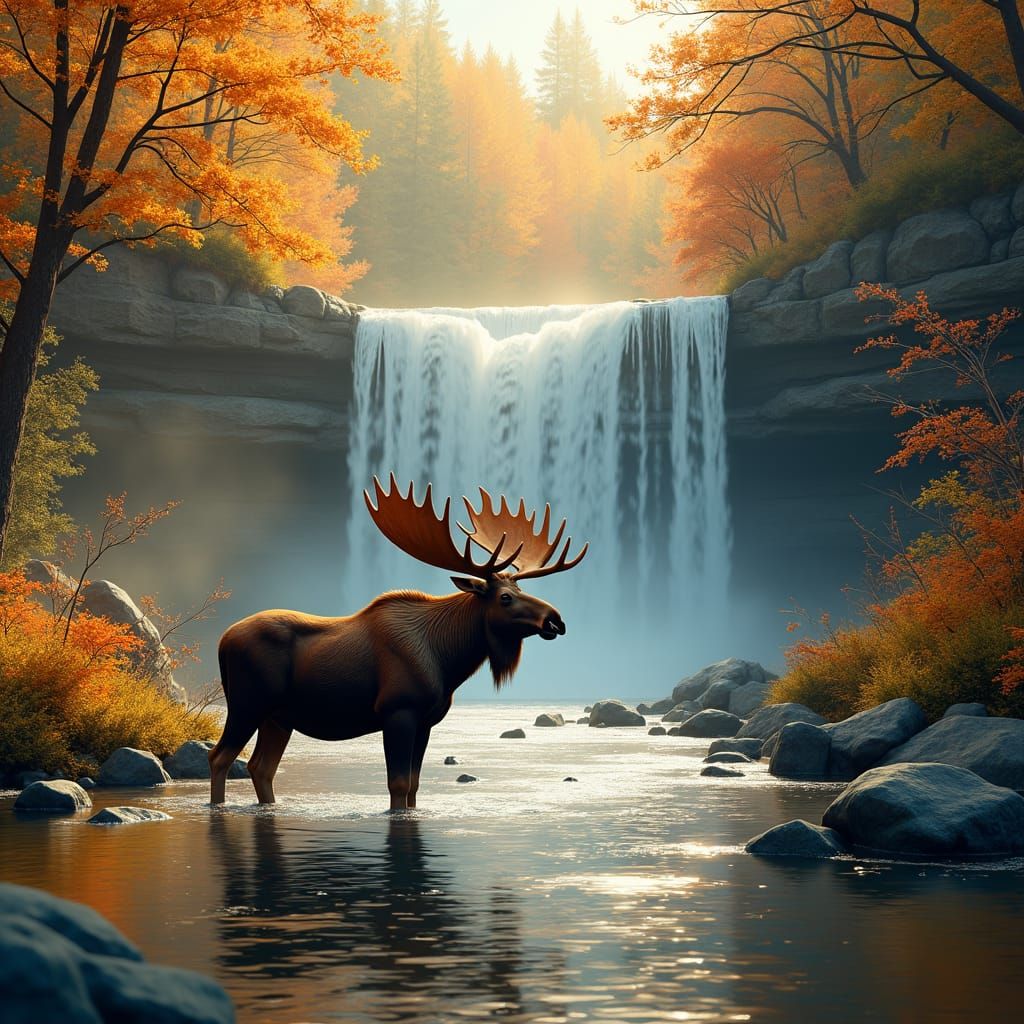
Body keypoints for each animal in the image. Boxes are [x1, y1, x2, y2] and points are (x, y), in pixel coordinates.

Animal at [208, 475, 588, 810]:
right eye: (505, 598)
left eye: (522, 589)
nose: (556, 620)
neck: (447, 659)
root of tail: (222, 640)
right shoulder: (398, 710)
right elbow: (399, 784)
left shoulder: (426, 720)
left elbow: (415, 786)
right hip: (246, 704)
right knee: (220, 757)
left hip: (278, 717)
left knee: (261, 767)